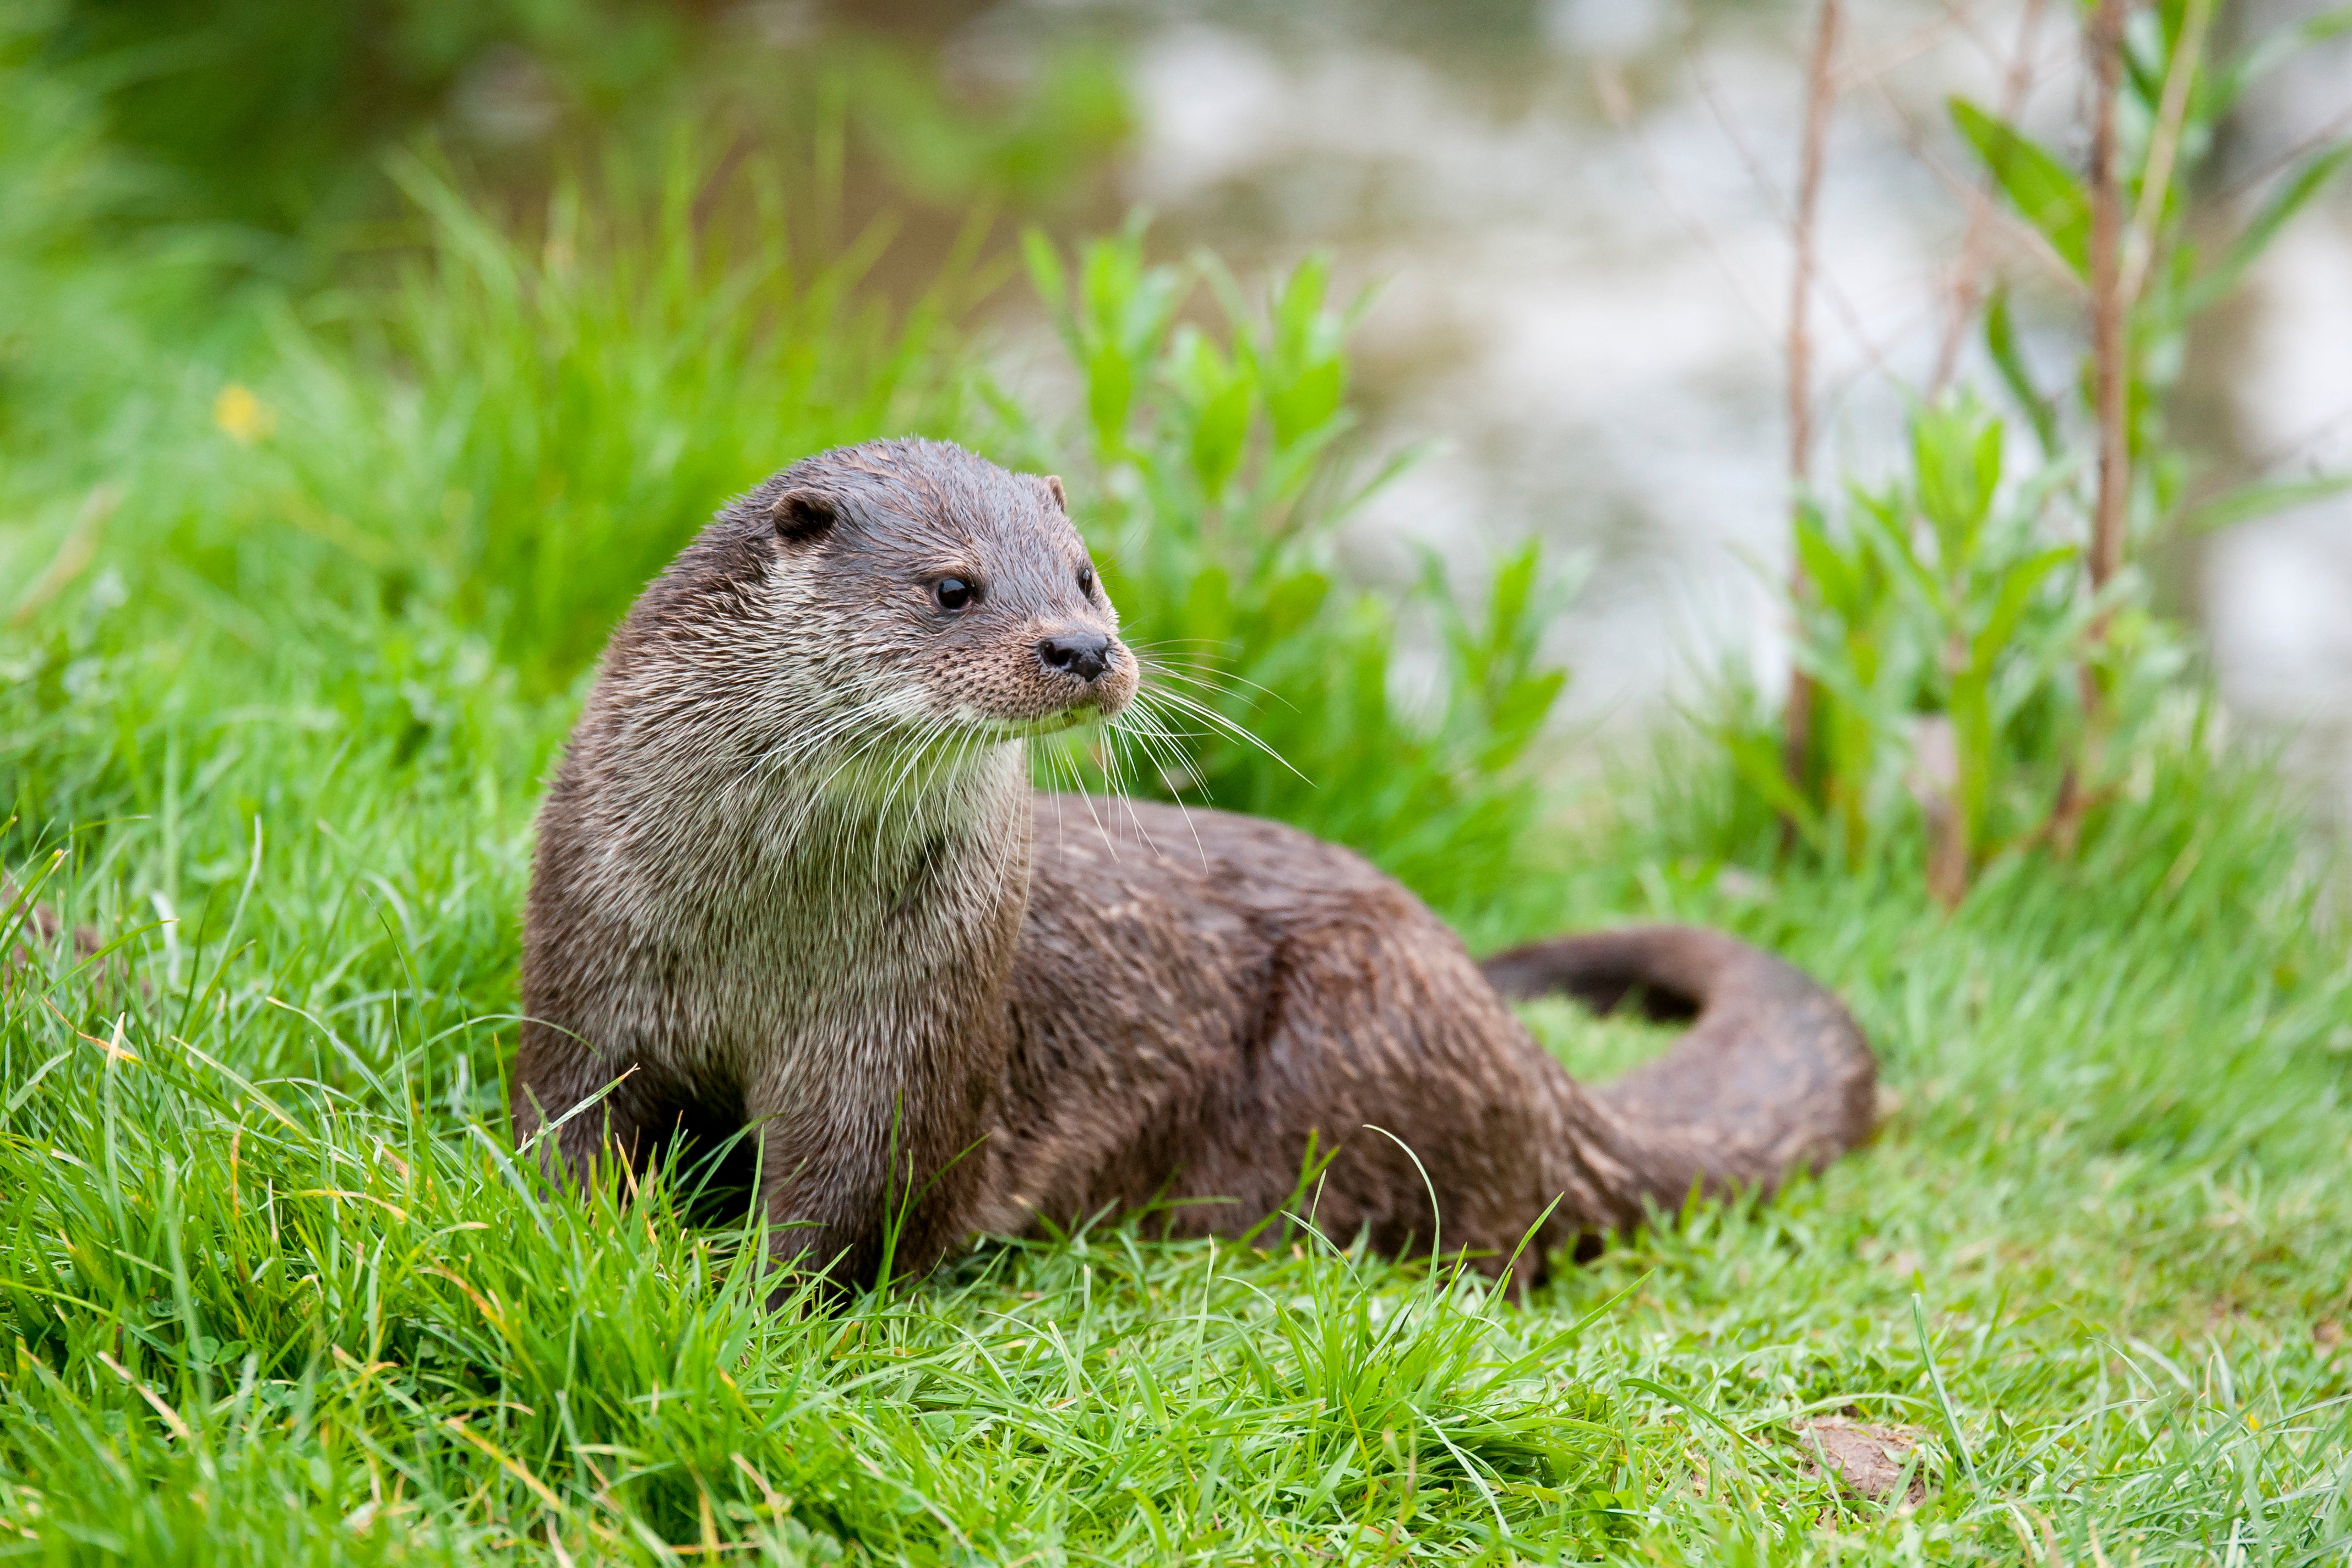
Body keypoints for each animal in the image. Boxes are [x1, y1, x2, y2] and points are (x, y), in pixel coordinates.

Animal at [520, 439, 1872, 1288]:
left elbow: (850, 1208)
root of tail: (1534, 1074)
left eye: (1085, 573)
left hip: (1365, 1025)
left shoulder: (904, 1033)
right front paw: (581, 1247)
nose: (1081, 646)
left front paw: (742, 1305)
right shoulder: (591, 961)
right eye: (952, 586)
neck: (762, 929)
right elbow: (567, 1127)